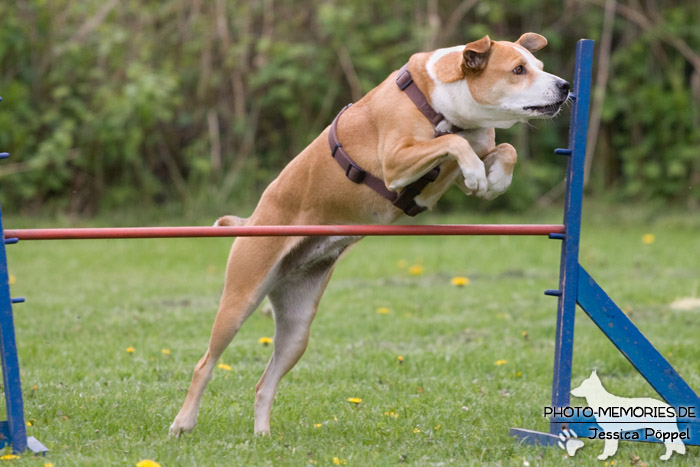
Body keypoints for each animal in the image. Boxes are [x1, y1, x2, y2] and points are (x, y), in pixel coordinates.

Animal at [168, 33, 568, 438]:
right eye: (518, 70)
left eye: (537, 64)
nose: (565, 86)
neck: (444, 104)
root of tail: (251, 220)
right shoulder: (395, 162)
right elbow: (454, 146)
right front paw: (474, 171)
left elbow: (505, 149)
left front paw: (495, 179)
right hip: (241, 297)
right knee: (205, 363)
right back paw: (183, 423)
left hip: (298, 327)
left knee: (265, 383)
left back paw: (262, 435)